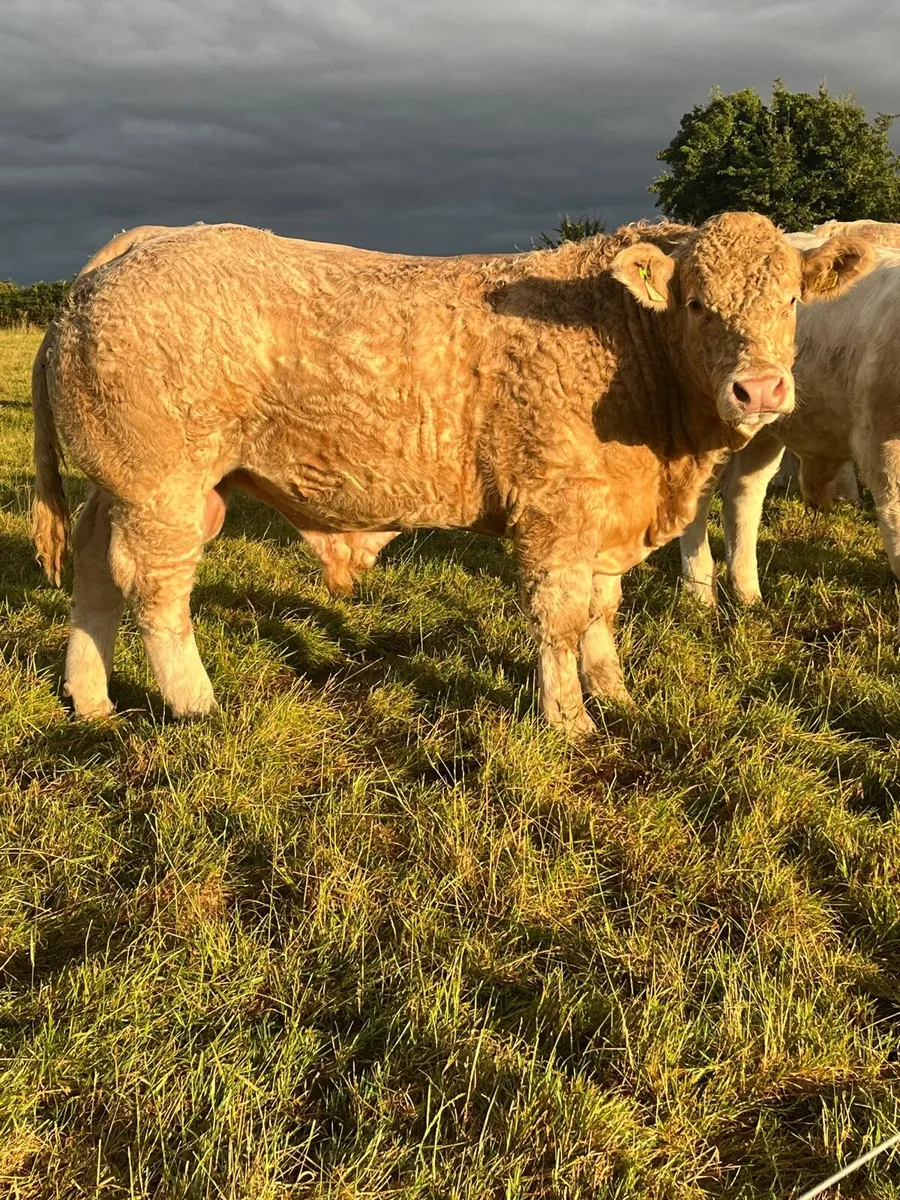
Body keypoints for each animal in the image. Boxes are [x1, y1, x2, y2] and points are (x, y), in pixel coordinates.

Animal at [31, 214, 874, 734]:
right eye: (697, 303)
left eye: (792, 299)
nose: (759, 390)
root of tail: (127, 252)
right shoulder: (556, 508)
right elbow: (560, 617)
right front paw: (570, 718)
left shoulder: (607, 513)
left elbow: (601, 612)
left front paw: (615, 691)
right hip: (162, 487)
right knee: (156, 591)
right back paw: (195, 702)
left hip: (132, 487)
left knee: (96, 569)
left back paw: (92, 698)